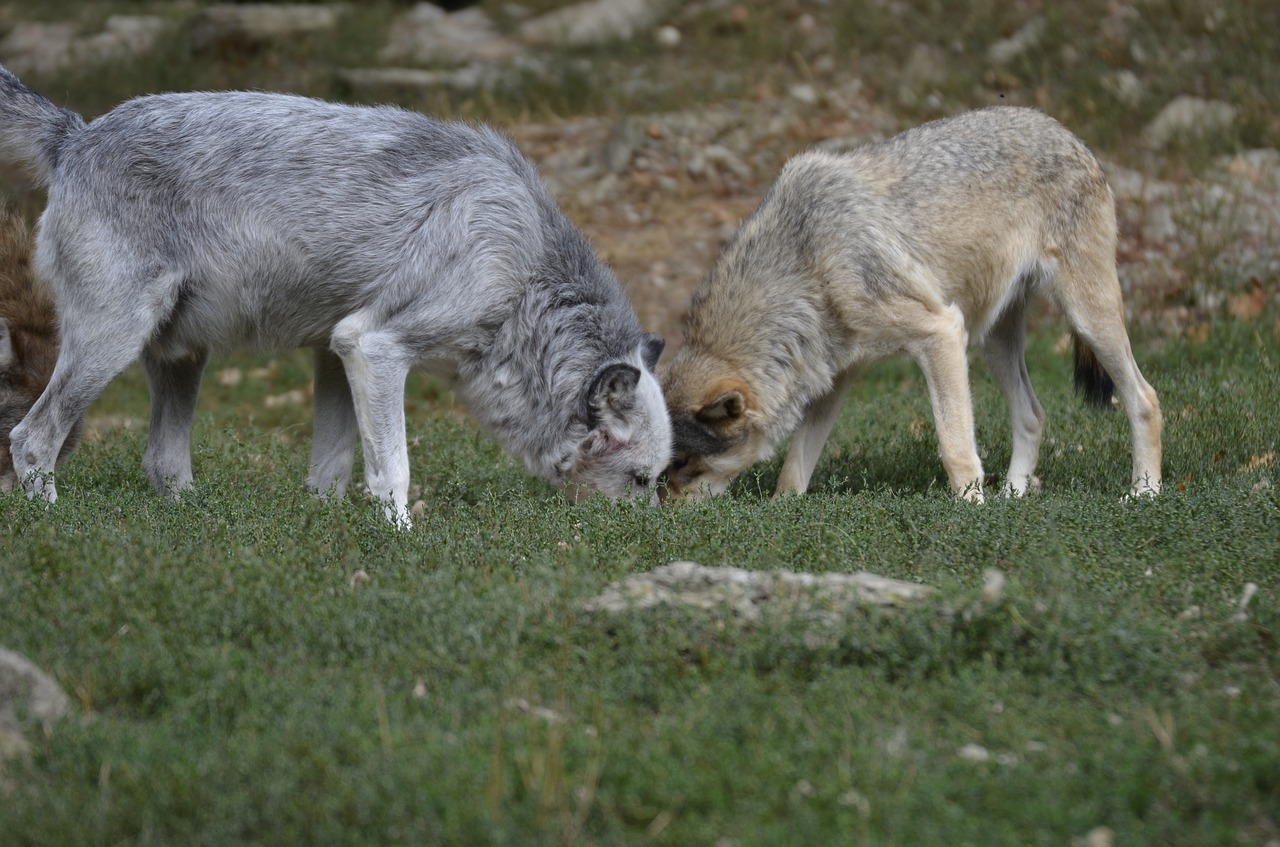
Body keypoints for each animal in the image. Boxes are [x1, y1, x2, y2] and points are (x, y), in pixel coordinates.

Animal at [0, 64, 675, 524]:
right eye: (641, 480)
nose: (643, 541)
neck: (523, 269)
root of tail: (77, 135)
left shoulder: (336, 355)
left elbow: (334, 471)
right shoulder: (373, 348)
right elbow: (394, 470)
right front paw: (403, 546)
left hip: (183, 357)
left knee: (161, 463)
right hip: (109, 345)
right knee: (32, 440)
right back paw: (53, 523)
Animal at [660, 106, 1162, 504]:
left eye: (682, 464)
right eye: (661, 469)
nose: (661, 516)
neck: (809, 261)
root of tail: (1068, 133)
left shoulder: (940, 334)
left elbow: (955, 449)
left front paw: (971, 513)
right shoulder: (838, 375)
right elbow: (794, 468)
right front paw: (785, 511)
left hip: (1086, 320)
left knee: (1145, 398)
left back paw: (1144, 492)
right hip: (991, 343)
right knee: (1033, 415)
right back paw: (1013, 495)